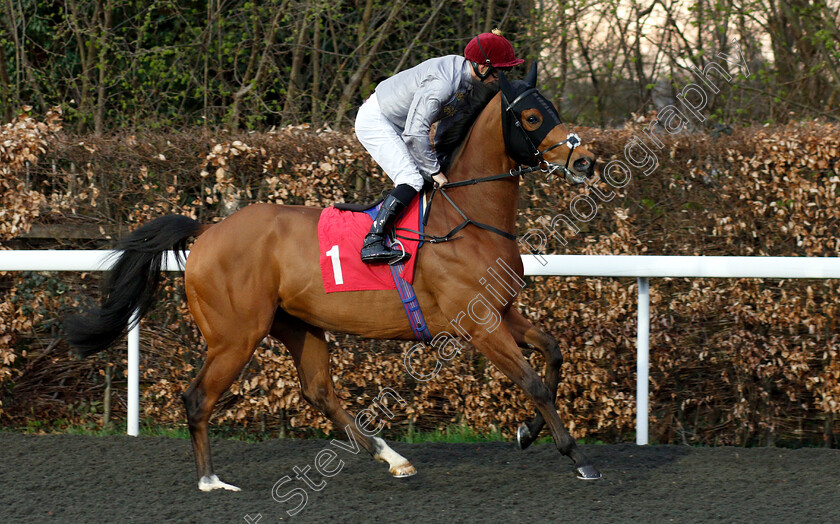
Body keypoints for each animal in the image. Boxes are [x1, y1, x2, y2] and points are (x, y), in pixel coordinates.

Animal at [65, 62, 604, 492]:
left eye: (553, 107)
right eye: (531, 117)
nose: (585, 160)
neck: (467, 217)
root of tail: (208, 231)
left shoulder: (502, 311)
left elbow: (554, 354)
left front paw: (528, 432)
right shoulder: (478, 324)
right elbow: (533, 382)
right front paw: (577, 457)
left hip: (297, 324)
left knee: (319, 392)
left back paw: (392, 457)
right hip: (235, 335)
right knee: (198, 398)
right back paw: (211, 481)